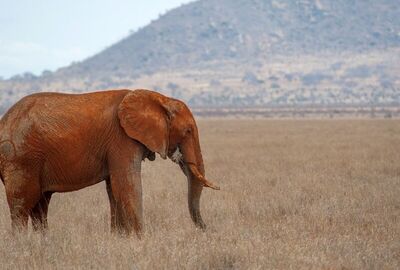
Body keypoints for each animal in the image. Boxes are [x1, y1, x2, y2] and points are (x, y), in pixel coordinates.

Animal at [0, 89, 219, 235]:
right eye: (188, 131)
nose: (207, 230)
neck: (160, 98)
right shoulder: (121, 139)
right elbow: (127, 186)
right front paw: (141, 241)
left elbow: (114, 190)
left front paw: (119, 239)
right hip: (20, 158)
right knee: (21, 206)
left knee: (40, 207)